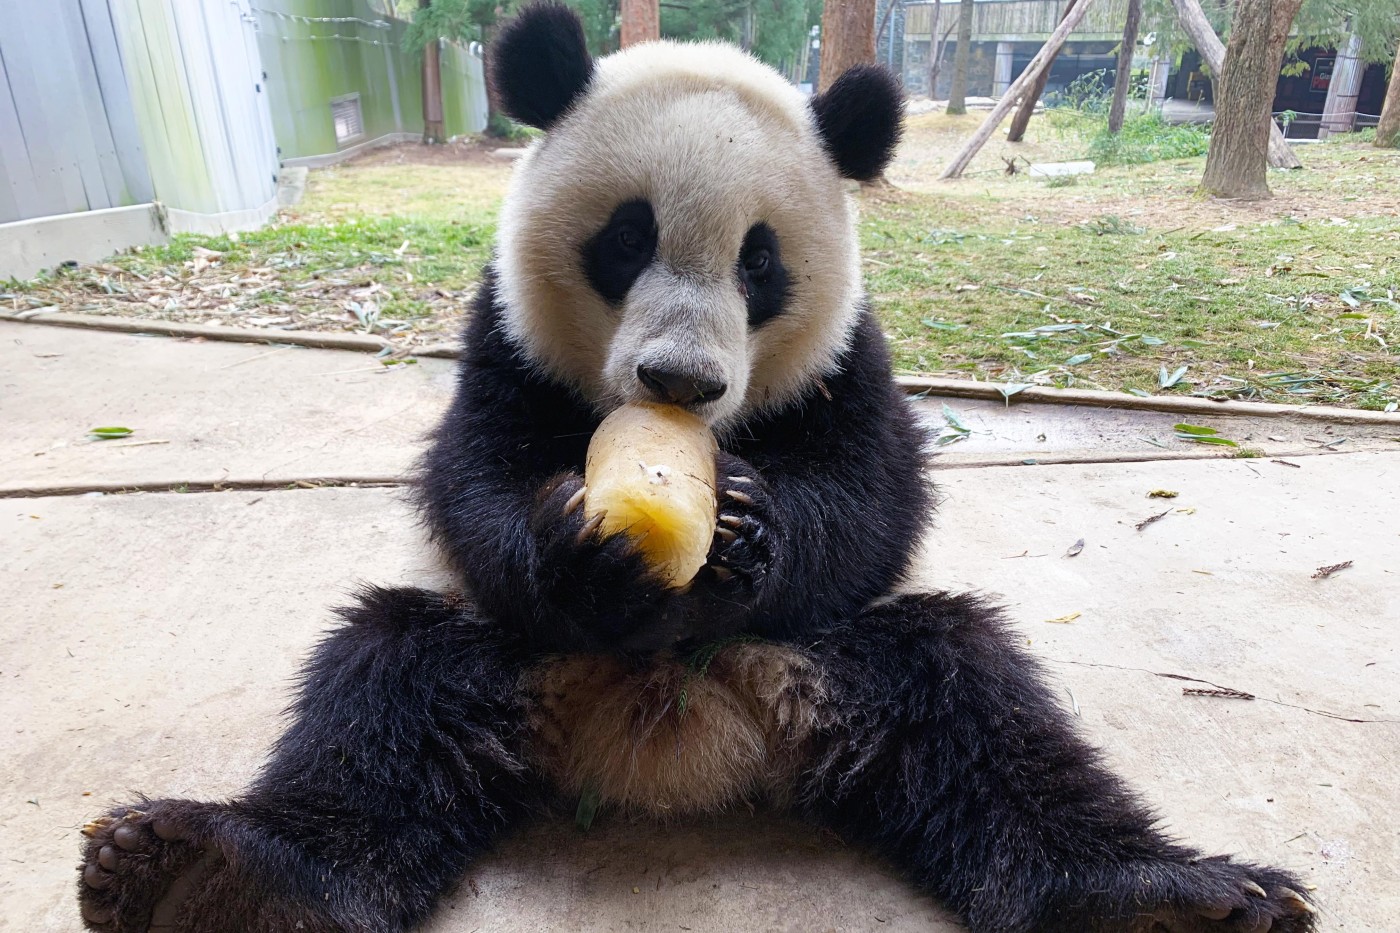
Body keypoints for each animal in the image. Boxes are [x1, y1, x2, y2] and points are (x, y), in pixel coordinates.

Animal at [79, 7, 1321, 930]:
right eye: (624, 240)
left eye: (758, 263)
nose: (678, 382)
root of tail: (672, 747)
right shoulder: (501, 336)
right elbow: (470, 480)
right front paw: (584, 553)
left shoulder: (847, 351)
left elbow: (876, 495)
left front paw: (751, 534)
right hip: (508, 662)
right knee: (384, 695)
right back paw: (215, 873)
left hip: (833, 661)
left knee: (974, 707)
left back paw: (1165, 898)